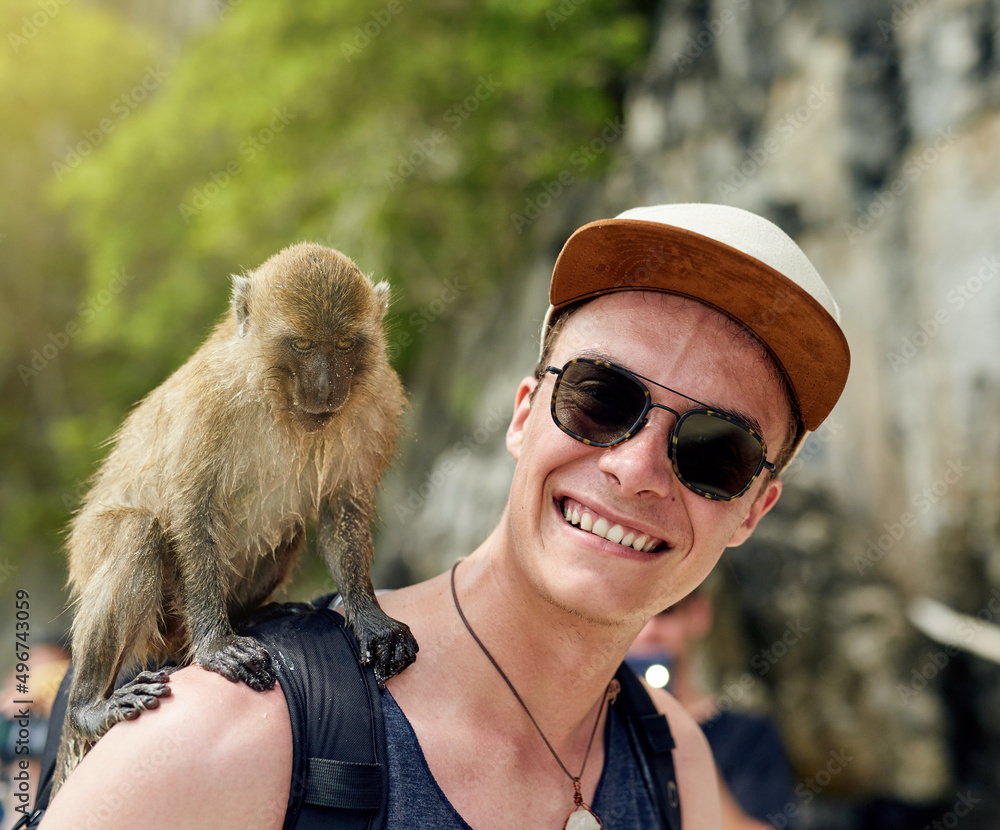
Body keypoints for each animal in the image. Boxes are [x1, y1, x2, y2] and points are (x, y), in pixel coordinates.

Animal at [55, 244, 414, 788]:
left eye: (345, 343)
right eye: (302, 344)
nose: (326, 388)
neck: (276, 397)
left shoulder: (377, 401)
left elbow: (342, 511)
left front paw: (369, 616)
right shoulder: (210, 403)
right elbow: (191, 509)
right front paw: (216, 644)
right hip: (94, 554)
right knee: (138, 531)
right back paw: (88, 706)